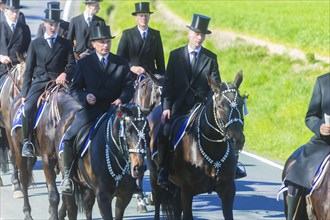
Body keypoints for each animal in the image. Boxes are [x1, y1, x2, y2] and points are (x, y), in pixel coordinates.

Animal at [9, 83, 82, 220]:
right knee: (24, 179)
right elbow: (54, 195)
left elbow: (64, 194)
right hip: (18, 149)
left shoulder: (62, 161)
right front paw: (54, 216)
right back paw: (27, 212)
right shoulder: (47, 158)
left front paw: (59, 214)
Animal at [148, 70, 246, 218]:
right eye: (220, 106)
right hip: (155, 176)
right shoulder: (187, 191)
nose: (238, 140)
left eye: (241, 104)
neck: (213, 150)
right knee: (158, 202)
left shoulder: (228, 191)